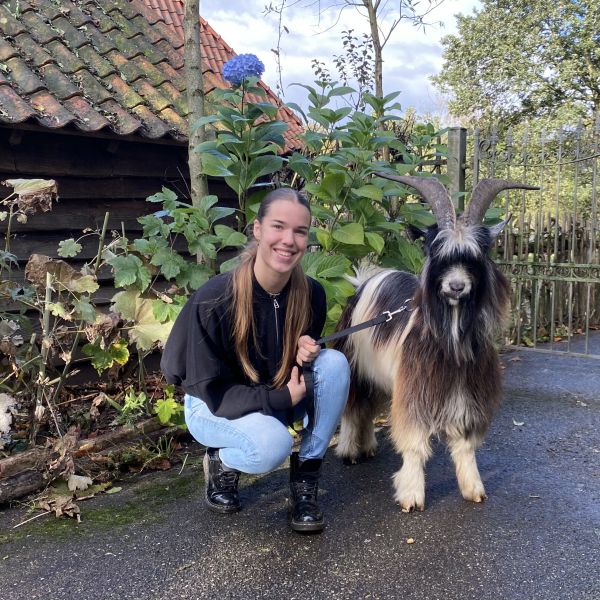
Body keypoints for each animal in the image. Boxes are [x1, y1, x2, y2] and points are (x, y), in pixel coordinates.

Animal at [336, 173, 536, 510]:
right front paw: (412, 495)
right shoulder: (415, 392)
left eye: (476, 256)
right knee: (353, 405)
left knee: (369, 406)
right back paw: (350, 451)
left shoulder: (465, 393)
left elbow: (465, 444)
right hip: (354, 362)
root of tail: (365, 281)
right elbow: (414, 444)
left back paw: (369, 445)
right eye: (436, 252)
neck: (450, 338)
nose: (456, 286)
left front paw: (473, 488)